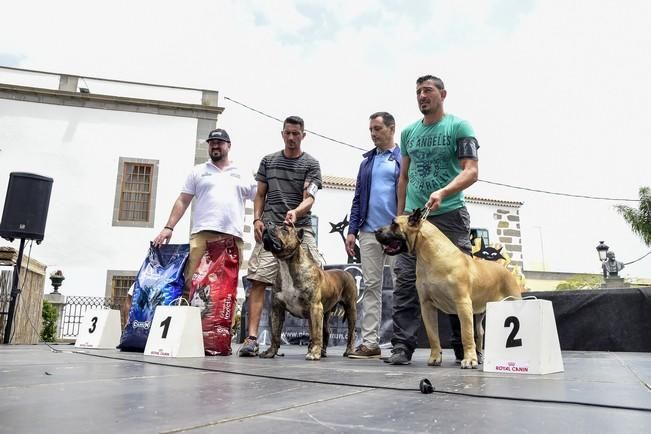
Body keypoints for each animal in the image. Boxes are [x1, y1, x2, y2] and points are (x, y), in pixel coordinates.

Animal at [260, 224, 356, 360]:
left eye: (285, 228)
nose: (268, 224)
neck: (286, 264)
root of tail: (346, 273)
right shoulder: (277, 309)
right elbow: (275, 333)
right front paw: (270, 352)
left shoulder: (315, 307)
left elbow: (316, 333)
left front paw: (314, 353)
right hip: (325, 313)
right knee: (326, 331)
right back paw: (323, 352)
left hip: (350, 308)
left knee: (351, 332)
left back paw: (348, 351)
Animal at [374, 209, 524, 368]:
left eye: (394, 224)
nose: (376, 231)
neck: (430, 256)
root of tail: (506, 271)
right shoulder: (427, 306)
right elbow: (433, 335)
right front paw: (435, 358)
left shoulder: (462, 303)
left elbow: (466, 334)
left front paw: (469, 360)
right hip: (479, 312)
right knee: (480, 332)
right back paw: (480, 357)